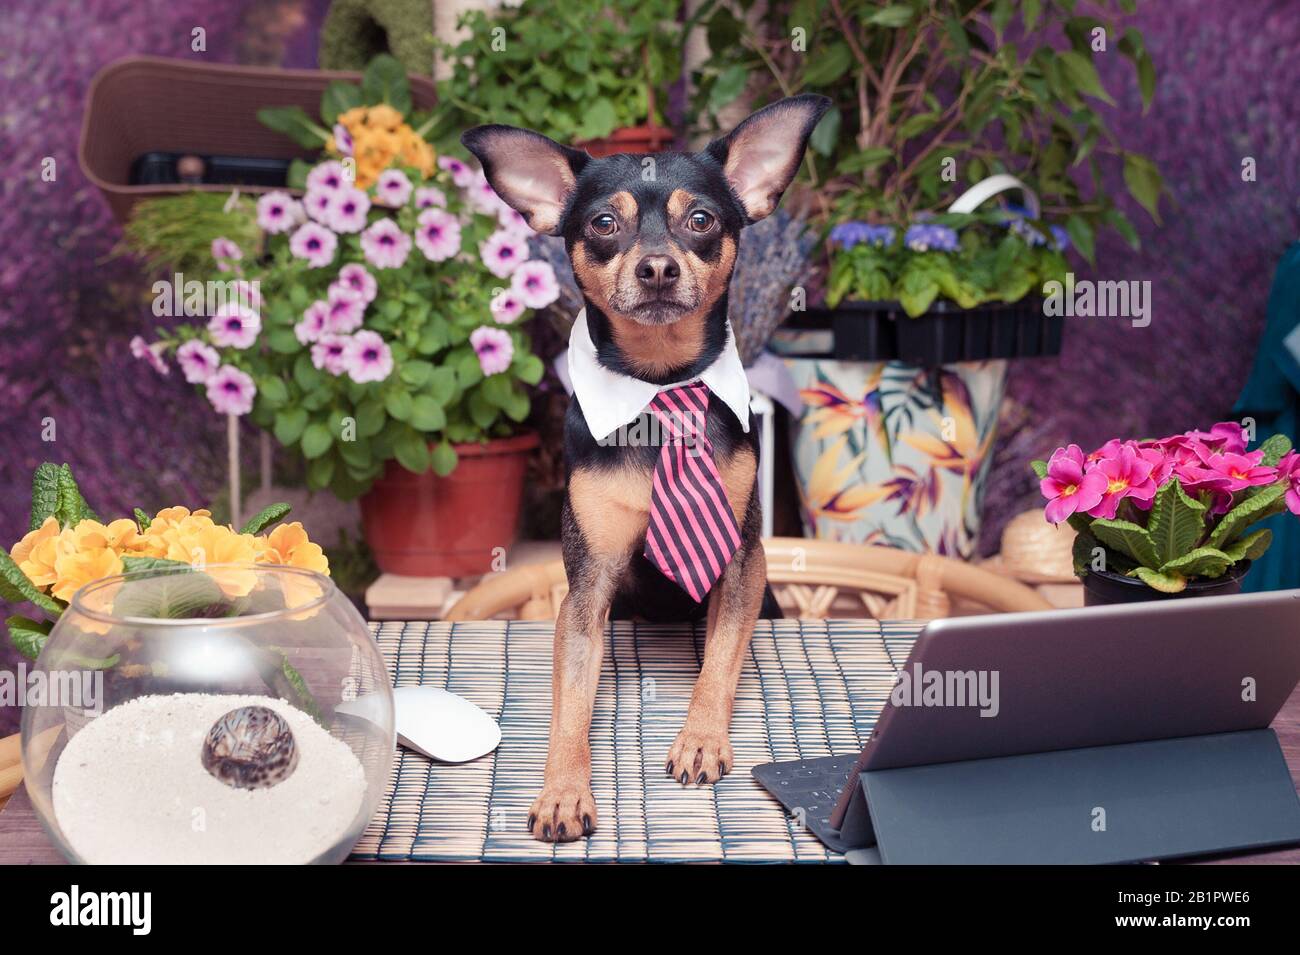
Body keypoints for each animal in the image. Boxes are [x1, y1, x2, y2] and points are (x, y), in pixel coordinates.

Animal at [465, 93, 832, 841]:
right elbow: (570, 704)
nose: (657, 266)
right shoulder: (588, 588)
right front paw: (563, 790)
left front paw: (699, 738)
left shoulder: (742, 563)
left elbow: (718, 660)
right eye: (604, 223)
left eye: (703, 219)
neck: (661, 386)